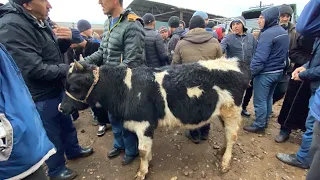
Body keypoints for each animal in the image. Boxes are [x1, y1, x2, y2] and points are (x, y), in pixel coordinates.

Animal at [59, 58, 250, 180]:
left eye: (74, 87)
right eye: (65, 85)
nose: (61, 108)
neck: (126, 89)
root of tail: (236, 62)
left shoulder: (143, 124)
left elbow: (142, 150)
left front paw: (142, 172)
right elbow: (146, 149)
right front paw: (148, 163)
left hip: (232, 111)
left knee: (232, 136)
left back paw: (225, 162)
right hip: (223, 113)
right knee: (227, 134)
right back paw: (221, 151)